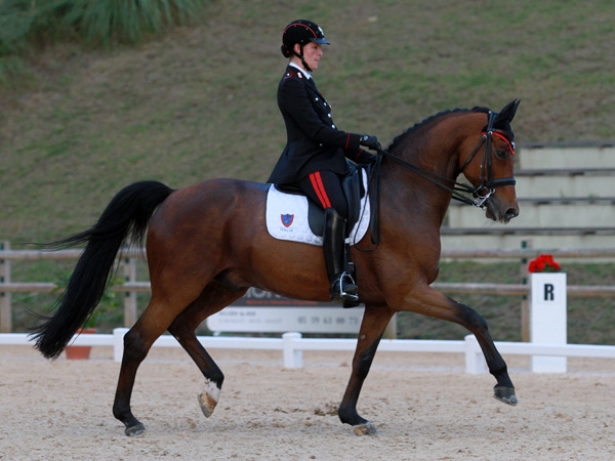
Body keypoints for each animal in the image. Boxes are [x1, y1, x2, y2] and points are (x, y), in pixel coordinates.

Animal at [32, 98, 520, 434]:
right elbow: (473, 317)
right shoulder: (409, 292)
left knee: (181, 326)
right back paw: (129, 418)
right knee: (138, 339)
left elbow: (362, 358)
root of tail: (172, 196)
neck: (405, 194)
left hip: (224, 285)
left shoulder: (383, 302)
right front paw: (504, 385)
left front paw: (351, 416)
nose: (509, 211)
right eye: (500, 152)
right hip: (179, 283)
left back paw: (212, 390)